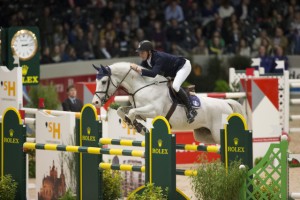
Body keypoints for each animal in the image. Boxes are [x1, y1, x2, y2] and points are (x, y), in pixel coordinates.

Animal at [91, 62, 244, 144]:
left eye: (103, 81)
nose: (96, 102)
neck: (141, 86)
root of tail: (227, 104)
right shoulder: (139, 110)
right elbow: (121, 110)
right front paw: (135, 125)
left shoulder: (153, 110)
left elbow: (132, 113)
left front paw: (138, 126)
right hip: (205, 135)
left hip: (217, 133)